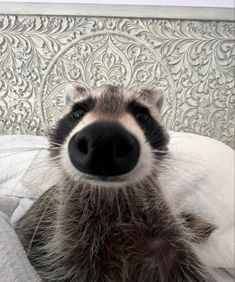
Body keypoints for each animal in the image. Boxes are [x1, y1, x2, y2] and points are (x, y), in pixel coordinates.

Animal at [15, 85, 215, 280]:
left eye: (142, 117)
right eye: (77, 113)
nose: (103, 140)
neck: (111, 196)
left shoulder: (167, 236)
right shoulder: (66, 241)